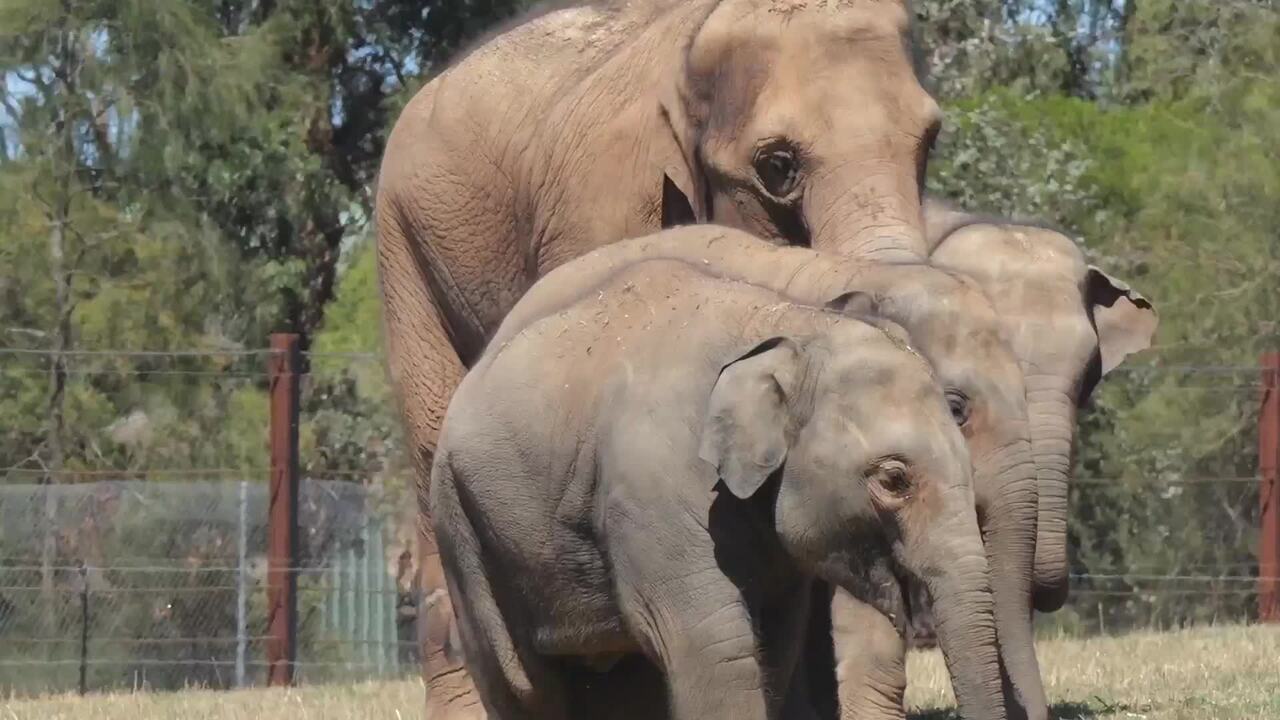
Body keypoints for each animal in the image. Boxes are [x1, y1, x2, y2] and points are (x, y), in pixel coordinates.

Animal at [430, 239, 1008, 717]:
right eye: (893, 479)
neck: (788, 328)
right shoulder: (656, 491)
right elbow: (718, 651)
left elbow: (771, 646)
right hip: (463, 530)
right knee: (525, 686)